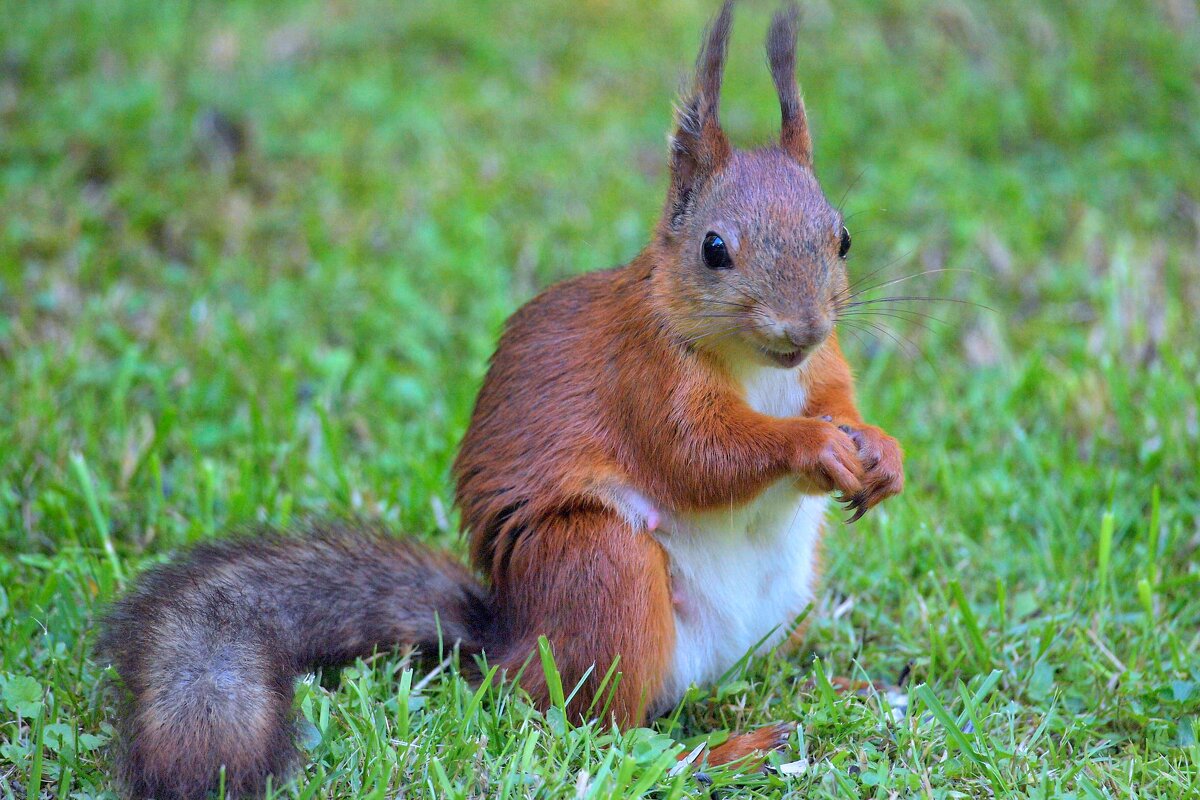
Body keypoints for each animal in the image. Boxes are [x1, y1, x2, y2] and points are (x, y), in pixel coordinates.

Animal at [98, 3, 902, 796]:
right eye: (714, 249)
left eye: (843, 238)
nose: (801, 328)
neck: (759, 368)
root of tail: (507, 645)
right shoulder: (643, 378)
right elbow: (698, 456)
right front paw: (813, 446)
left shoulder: (821, 371)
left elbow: (839, 406)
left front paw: (883, 454)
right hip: (600, 569)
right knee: (603, 730)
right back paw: (725, 751)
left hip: (780, 597)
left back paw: (841, 690)